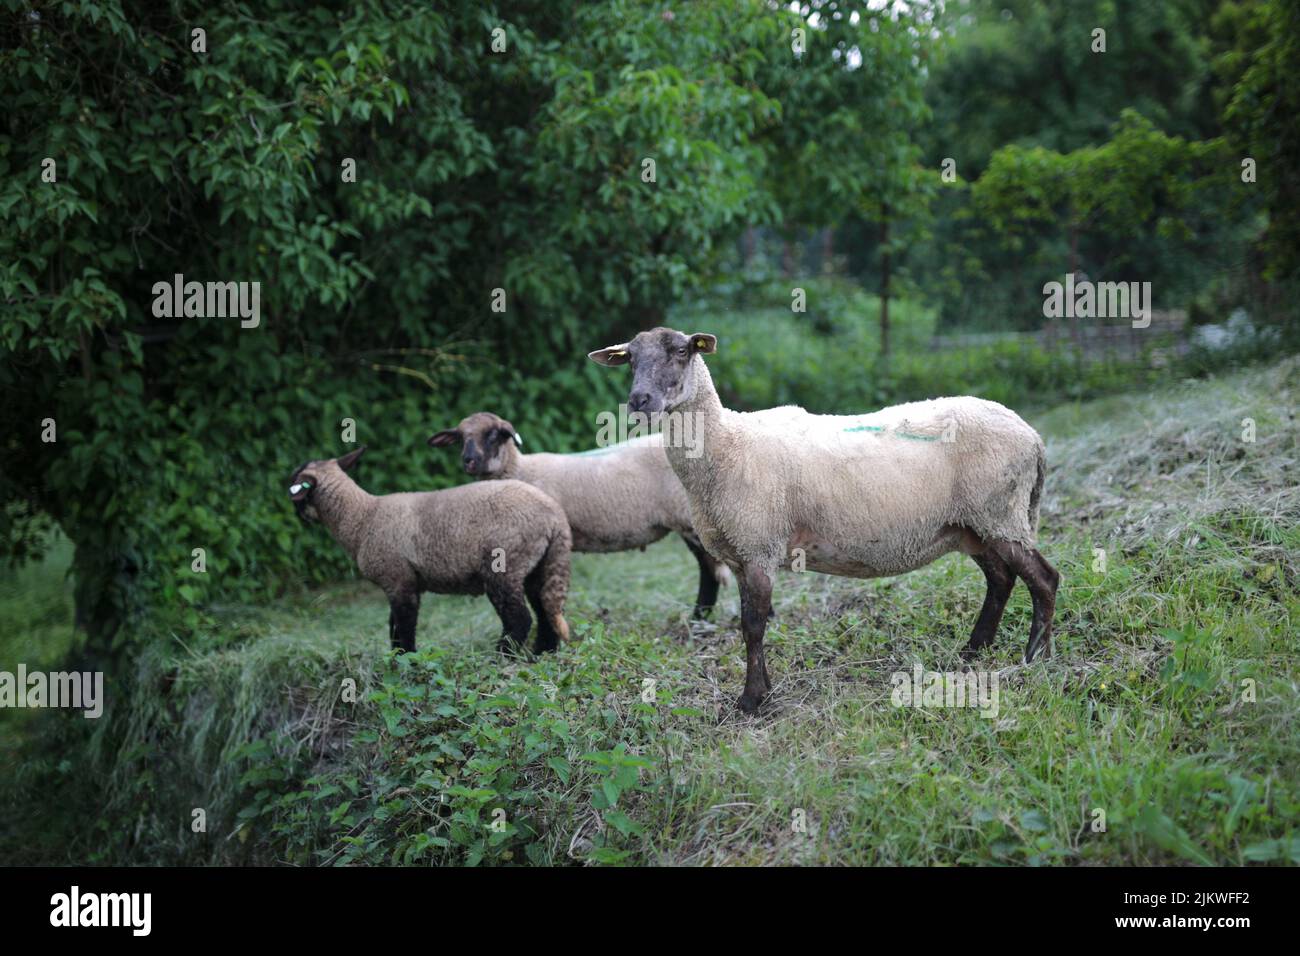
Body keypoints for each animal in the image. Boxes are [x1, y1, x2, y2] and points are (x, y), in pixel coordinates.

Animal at [287, 444, 572, 655]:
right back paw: (541, 653)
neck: (362, 517)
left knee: (520, 619)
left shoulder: (397, 579)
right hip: (539, 564)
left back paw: (501, 656)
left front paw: (405, 662)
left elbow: (404, 627)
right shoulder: (406, 581)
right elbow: (394, 626)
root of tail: (555, 517)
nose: (297, 515)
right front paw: (397, 659)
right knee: (545, 610)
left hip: (504, 565)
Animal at [426, 411, 733, 621]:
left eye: (493, 435)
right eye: (461, 438)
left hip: (688, 517)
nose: (469, 461)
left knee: (711, 570)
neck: (520, 471)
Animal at [590, 327, 1055, 712]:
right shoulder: (739, 554)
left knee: (1044, 579)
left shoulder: (759, 547)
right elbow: (750, 624)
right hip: (973, 525)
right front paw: (761, 691)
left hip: (999, 512)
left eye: (682, 351)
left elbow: (752, 626)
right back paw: (973, 653)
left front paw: (752, 701)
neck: (726, 445)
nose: (639, 401)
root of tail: (1031, 434)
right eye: (630, 358)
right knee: (1000, 579)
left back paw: (1035, 657)